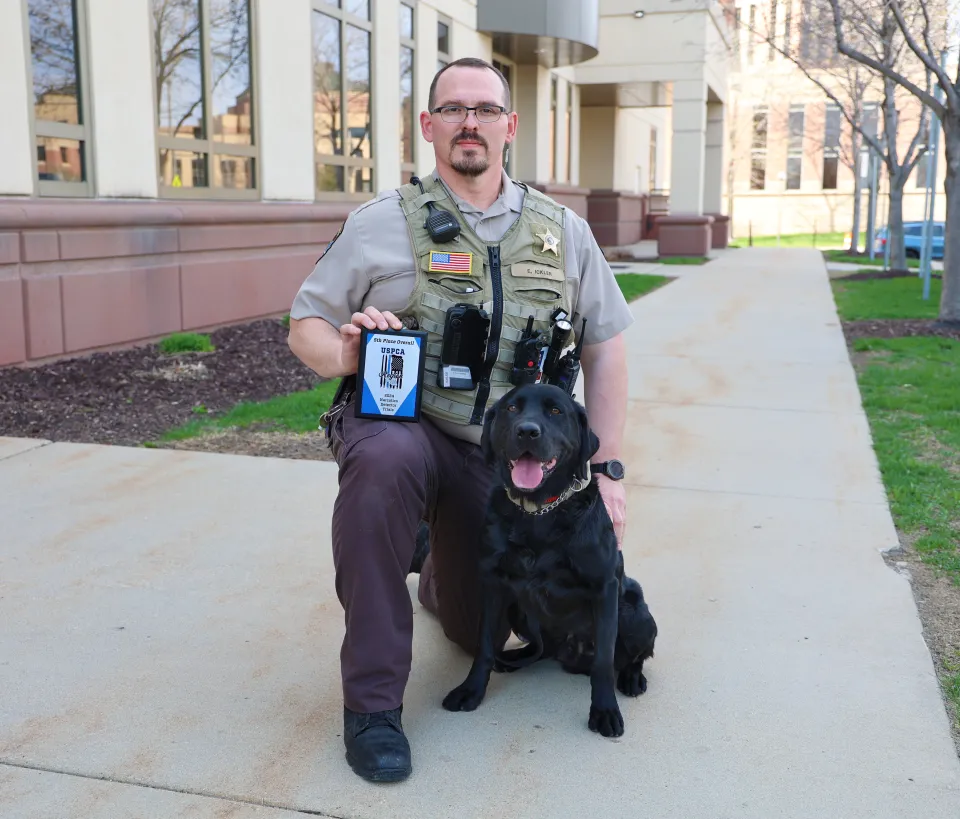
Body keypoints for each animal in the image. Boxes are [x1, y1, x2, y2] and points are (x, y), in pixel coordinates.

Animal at [444, 384, 660, 736]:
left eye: (556, 411)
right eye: (512, 408)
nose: (527, 431)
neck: (538, 513)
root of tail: (570, 654)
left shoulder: (605, 588)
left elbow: (604, 661)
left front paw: (604, 710)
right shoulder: (493, 583)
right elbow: (484, 645)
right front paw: (471, 690)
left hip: (635, 613)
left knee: (631, 656)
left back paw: (631, 678)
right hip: (519, 611)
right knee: (540, 649)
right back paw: (514, 659)